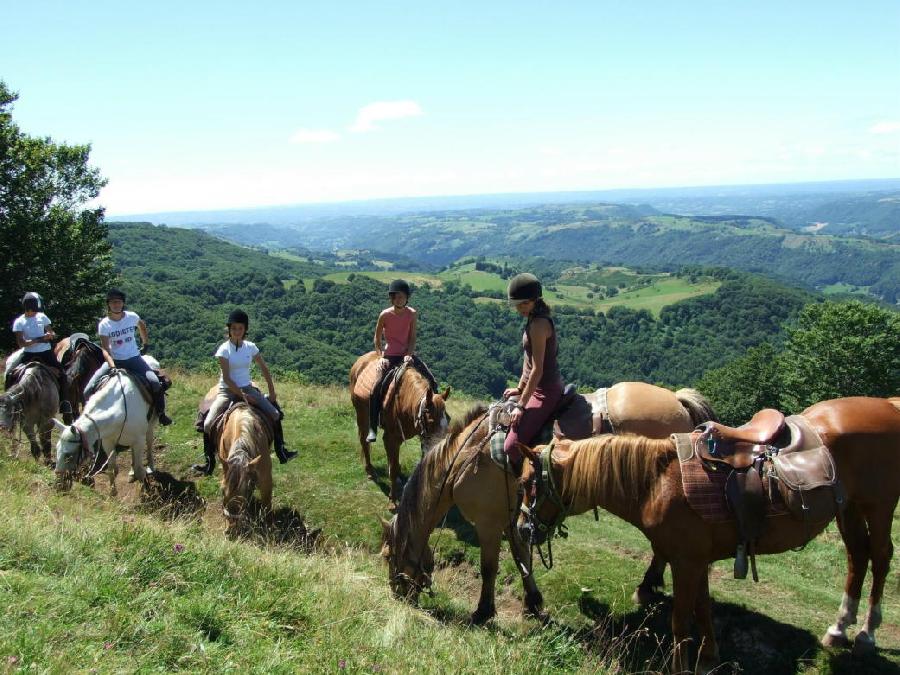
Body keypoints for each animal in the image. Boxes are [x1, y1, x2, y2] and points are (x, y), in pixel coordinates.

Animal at [219, 402, 272, 540]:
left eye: (247, 490)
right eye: (222, 490)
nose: (231, 531)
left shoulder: (266, 479)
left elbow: (267, 505)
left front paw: (268, 528)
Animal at [350, 352, 450, 510]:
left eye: (448, 420)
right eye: (431, 422)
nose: (440, 449)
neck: (407, 401)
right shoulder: (391, 438)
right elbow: (394, 467)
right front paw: (392, 501)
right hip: (361, 413)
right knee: (364, 440)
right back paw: (370, 471)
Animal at [516, 398, 900, 672]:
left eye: (528, 483)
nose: (522, 528)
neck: (657, 484)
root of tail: (889, 406)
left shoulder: (686, 562)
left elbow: (680, 620)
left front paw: (680, 668)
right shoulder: (696, 560)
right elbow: (702, 611)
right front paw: (708, 658)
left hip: (879, 506)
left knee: (880, 557)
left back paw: (866, 634)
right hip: (848, 509)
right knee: (858, 556)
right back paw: (839, 628)